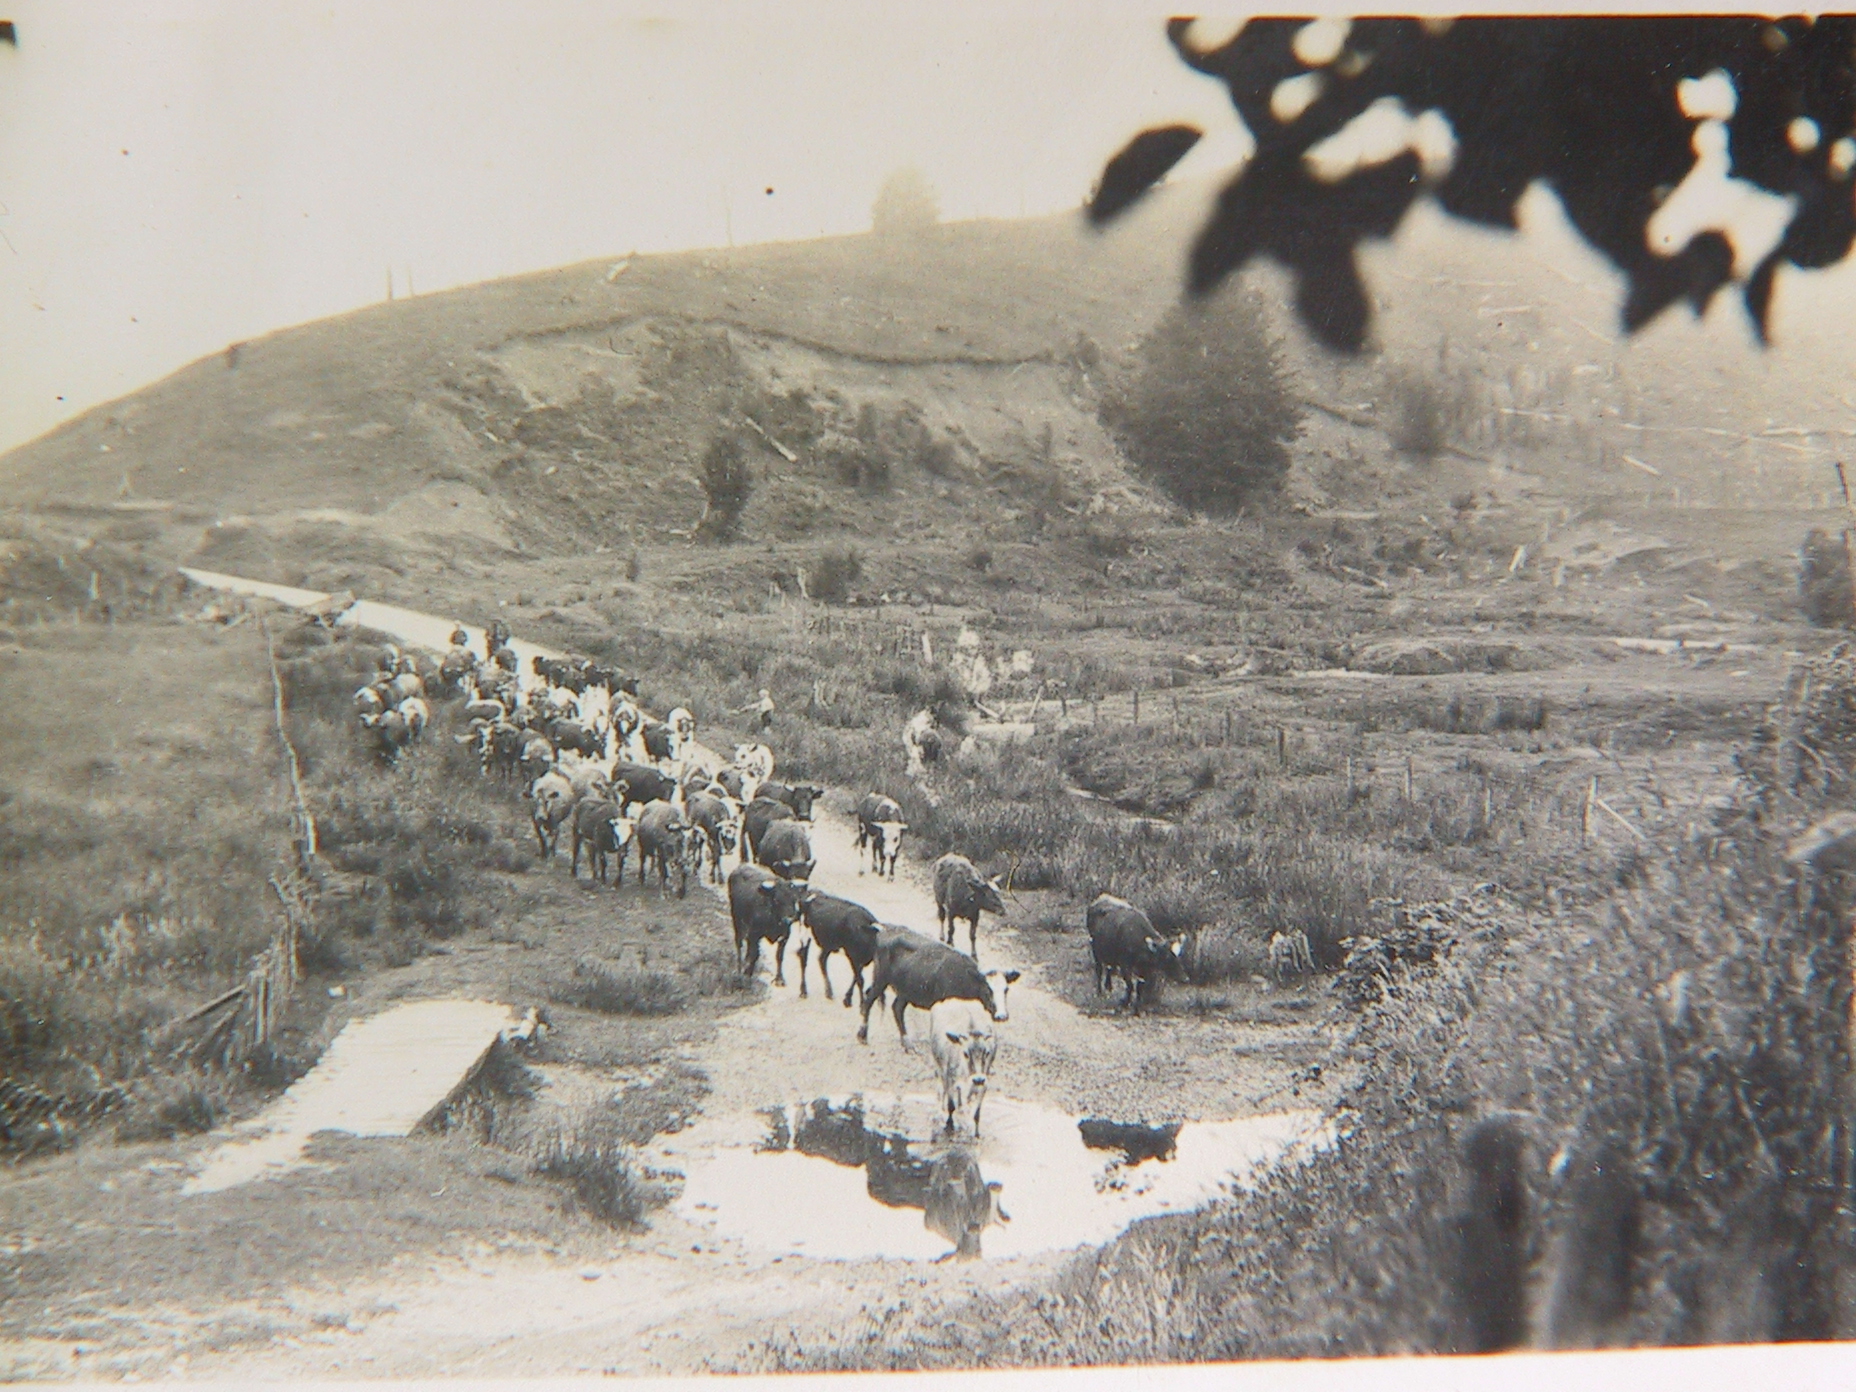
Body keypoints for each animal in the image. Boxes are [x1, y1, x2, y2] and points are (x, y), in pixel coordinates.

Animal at [853, 928, 1017, 1046]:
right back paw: (862, 1035)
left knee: (897, 1008)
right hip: (881, 979)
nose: (1002, 1016)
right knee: (868, 1001)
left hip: (906, 989)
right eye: (988, 989)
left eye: (1006, 990)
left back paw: (906, 1041)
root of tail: (884, 932)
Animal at [928, 1002, 1002, 1143]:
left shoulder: (983, 1084)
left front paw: (976, 1133)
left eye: (987, 1052)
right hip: (938, 1067)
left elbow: (976, 1113)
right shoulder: (949, 1078)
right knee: (941, 1090)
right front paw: (949, 1125)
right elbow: (951, 1105)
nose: (978, 1079)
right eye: (965, 1053)